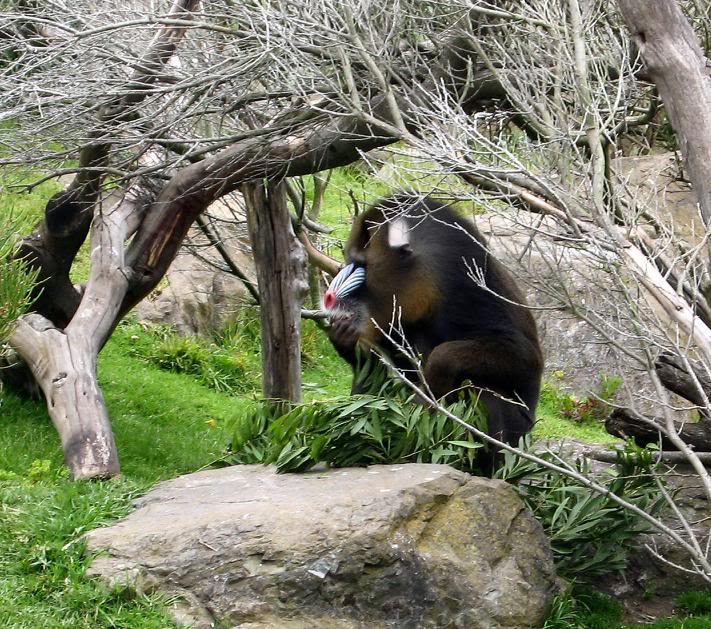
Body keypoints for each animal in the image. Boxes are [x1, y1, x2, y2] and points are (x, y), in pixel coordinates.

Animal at [323, 194, 544, 468]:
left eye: (361, 264)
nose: (330, 296)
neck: (426, 283)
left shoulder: (464, 278)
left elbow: (525, 359)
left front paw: (429, 391)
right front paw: (343, 339)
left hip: (515, 437)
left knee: (484, 394)